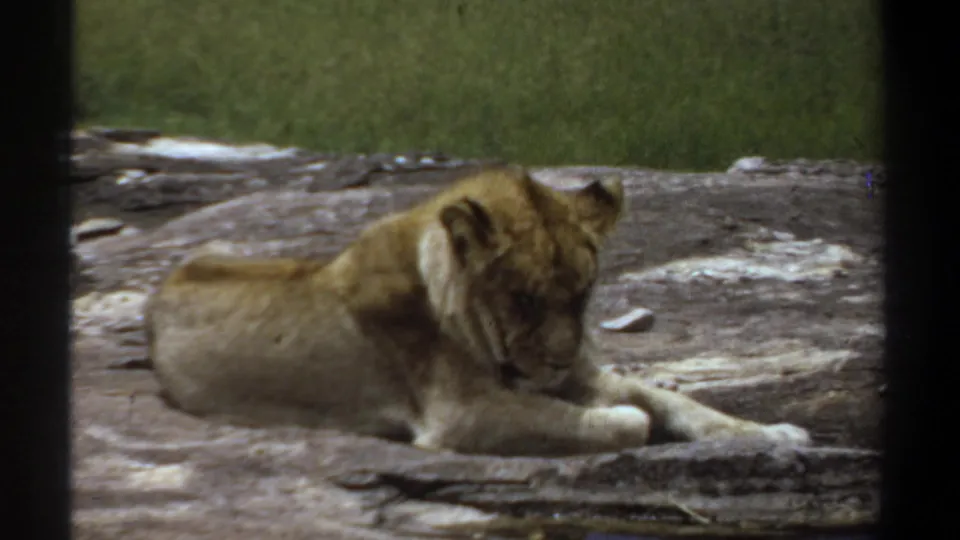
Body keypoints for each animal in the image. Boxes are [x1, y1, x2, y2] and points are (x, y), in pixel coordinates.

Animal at [147, 165, 811, 456]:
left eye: (582, 295)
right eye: (523, 299)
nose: (558, 362)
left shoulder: (575, 374)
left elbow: (676, 401)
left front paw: (774, 433)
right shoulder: (460, 414)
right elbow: (619, 417)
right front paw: (625, 421)